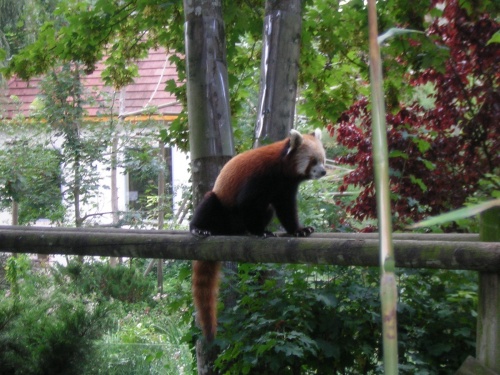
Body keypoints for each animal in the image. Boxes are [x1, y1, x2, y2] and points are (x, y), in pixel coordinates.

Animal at [189, 130, 326, 344]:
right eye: (313, 160)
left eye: (323, 159)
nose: (323, 171)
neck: (282, 169)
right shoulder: (260, 176)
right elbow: (247, 202)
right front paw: (260, 231)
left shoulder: (285, 188)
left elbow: (286, 209)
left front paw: (298, 230)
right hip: (220, 207)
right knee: (209, 202)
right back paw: (199, 228)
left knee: (267, 209)